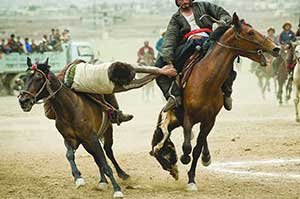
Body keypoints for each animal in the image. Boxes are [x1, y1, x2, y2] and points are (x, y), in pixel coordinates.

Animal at [18, 57, 127, 197]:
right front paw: (78, 177)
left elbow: (105, 163)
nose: (23, 101)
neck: (70, 109)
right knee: (97, 158)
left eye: (39, 78)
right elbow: (70, 155)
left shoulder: (91, 138)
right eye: (24, 78)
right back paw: (102, 181)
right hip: (87, 144)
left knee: (108, 152)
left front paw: (117, 189)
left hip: (106, 133)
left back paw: (123, 174)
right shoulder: (71, 139)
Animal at [151, 13, 280, 190]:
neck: (206, 81)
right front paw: (183, 160)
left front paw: (192, 179)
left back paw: (201, 158)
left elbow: (197, 149)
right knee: (159, 143)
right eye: (250, 33)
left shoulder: (209, 120)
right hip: (174, 119)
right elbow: (187, 146)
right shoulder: (188, 117)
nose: (276, 48)